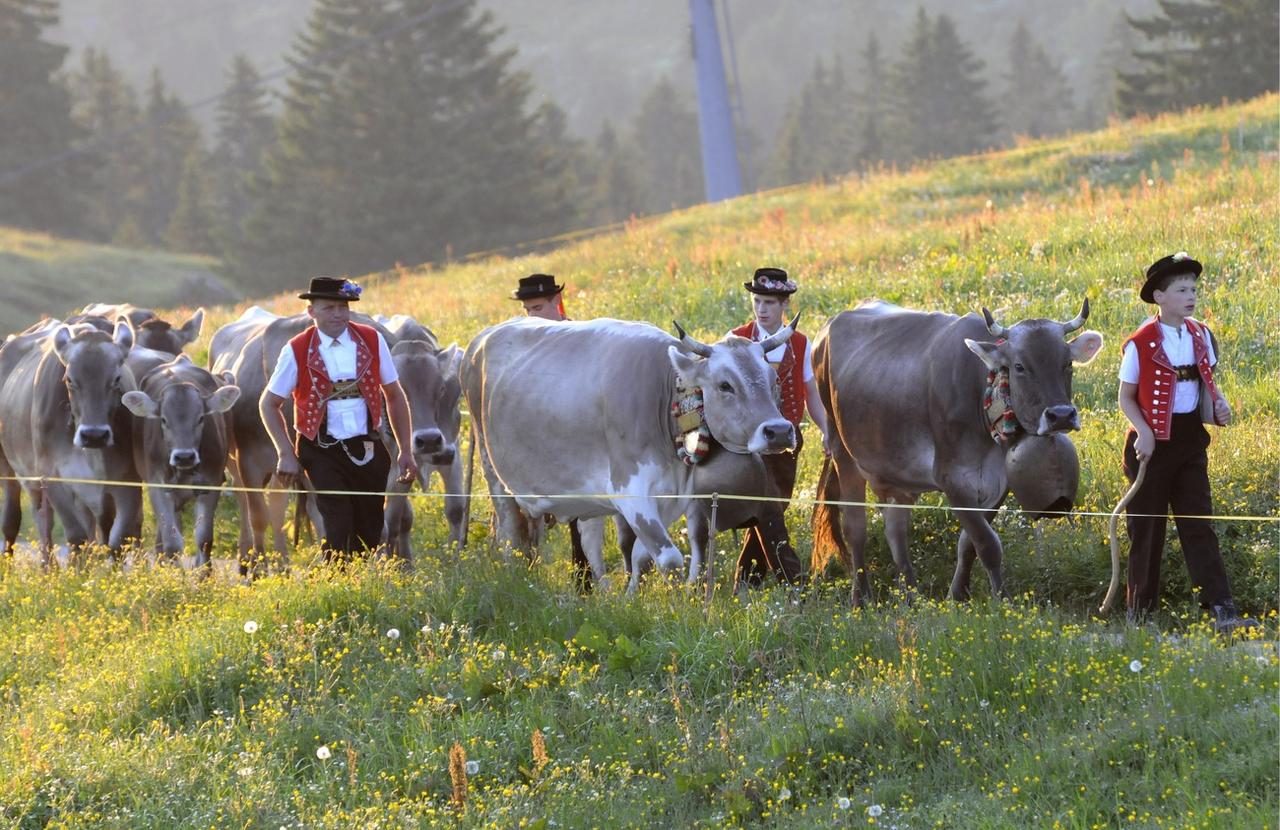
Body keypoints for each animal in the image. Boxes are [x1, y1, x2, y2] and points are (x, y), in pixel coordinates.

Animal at [122, 353, 240, 566]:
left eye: (201, 418)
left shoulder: (210, 483)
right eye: (163, 420)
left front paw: (204, 572)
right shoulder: (158, 485)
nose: (184, 456)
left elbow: (203, 539)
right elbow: (172, 543)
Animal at [808, 298, 1100, 602]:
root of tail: (827, 327)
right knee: (855, 528)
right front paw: (1002, 599)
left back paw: (912, 596)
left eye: (1067, 363)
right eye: (1019, 366)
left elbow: (968, 544)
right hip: (842, 451)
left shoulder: (998, 482)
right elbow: (987, 543)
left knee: (895, 529)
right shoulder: (951, 478)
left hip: (894, 471)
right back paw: (861, 597)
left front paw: (958, 595)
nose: (1061, 415)